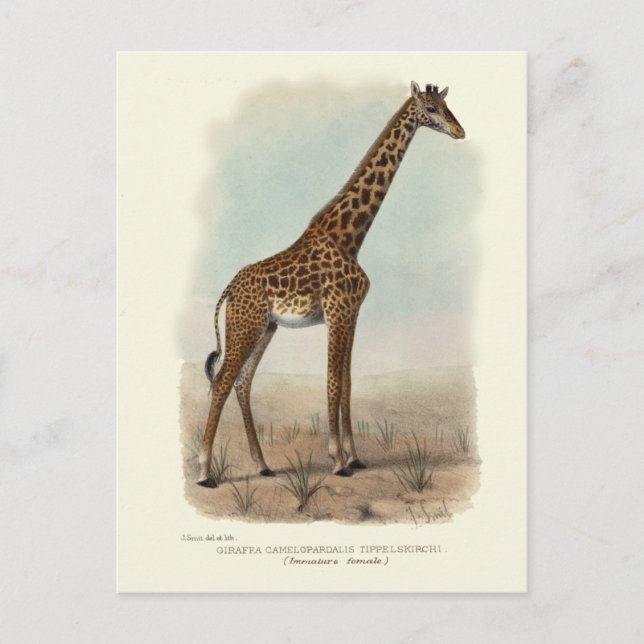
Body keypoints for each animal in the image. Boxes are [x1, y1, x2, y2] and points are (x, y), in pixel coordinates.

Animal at [196, 81, 465, 487]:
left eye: (446, 106)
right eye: (431, 109)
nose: (459, 131)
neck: (350, 237)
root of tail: (228, 289)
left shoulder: (352, 315)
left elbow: (347, 383)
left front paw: (354, 457)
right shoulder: (338, 313)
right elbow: (333, 382)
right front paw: (337, 461)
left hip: (265, 328)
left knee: (242, 382)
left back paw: (262, 464)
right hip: (245, 326)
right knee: (223, 382)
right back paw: (205, 471)